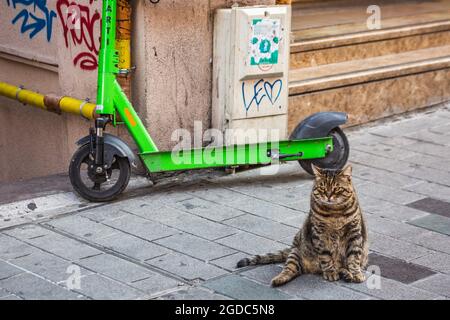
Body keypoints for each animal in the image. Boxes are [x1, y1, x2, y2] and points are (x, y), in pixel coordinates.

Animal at [237, 165, 368, 288]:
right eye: (322, 188)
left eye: (337, 189)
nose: (328, 196)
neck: (335, 212)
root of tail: (292, 247)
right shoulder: (319, 234)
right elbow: (326, 257)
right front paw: (330, 272)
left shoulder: (355, 233)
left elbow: (354, 257)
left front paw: (356, 273)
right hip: (296, 254)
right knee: (289, 269)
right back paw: (278, 280)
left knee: (341, 265)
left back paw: (346, 274)